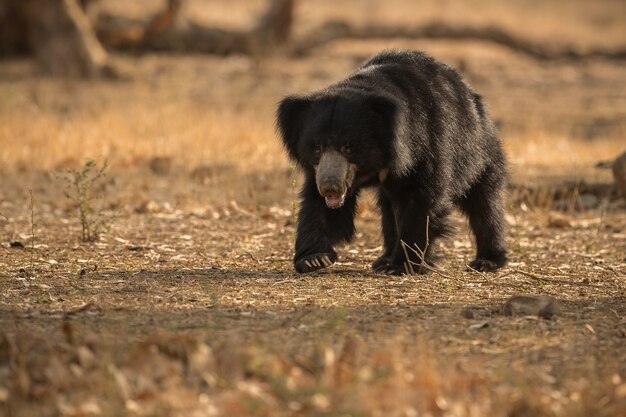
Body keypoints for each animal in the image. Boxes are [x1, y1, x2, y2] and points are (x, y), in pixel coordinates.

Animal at [276, 48, 504, 274]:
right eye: (317, 147)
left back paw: (488, 260)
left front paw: (403, 264)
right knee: (388, 209)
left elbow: (420, 201)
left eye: (349, 147)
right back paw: (383, 259)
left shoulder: (427, 146)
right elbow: (318, 206)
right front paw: (314, 259)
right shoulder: (321, 169)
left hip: (478, 152)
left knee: (485, 203)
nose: (330, 187)